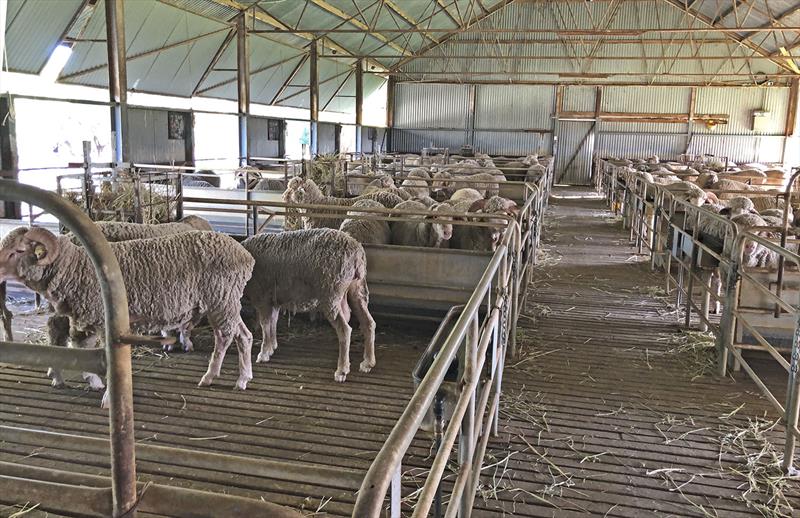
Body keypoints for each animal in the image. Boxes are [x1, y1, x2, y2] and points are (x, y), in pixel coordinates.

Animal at [0, 228, 255, 398]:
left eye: (18, 251)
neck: (77, 266)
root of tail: (245, 254)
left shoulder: (100, 316)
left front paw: (103, 388)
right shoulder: (90, 316)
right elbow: (82, 346)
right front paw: (94, 380)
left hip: (220, 298)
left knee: (225, 335)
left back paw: (211, 376)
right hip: (227, 301)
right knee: (244, 335)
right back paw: (242, 378)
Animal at [241, 230, 376, 384]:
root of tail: (357, 252)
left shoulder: (262, 297)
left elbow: (265, 324)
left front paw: (264, 353)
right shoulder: (274, 300)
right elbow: (273, 322)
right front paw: (272, 346)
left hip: (331, 293)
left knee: (345, 330)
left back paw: (341, 371)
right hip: (356, 289)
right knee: (368, 323)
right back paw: (368, 363)